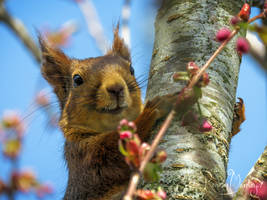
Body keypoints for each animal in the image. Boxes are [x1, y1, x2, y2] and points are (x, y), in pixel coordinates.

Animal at [38, 27, 176, 200]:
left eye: (131, 69)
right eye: (77, 79)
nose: (116, 87)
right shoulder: (84, 160)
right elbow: (113, 159)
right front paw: (151, 111)